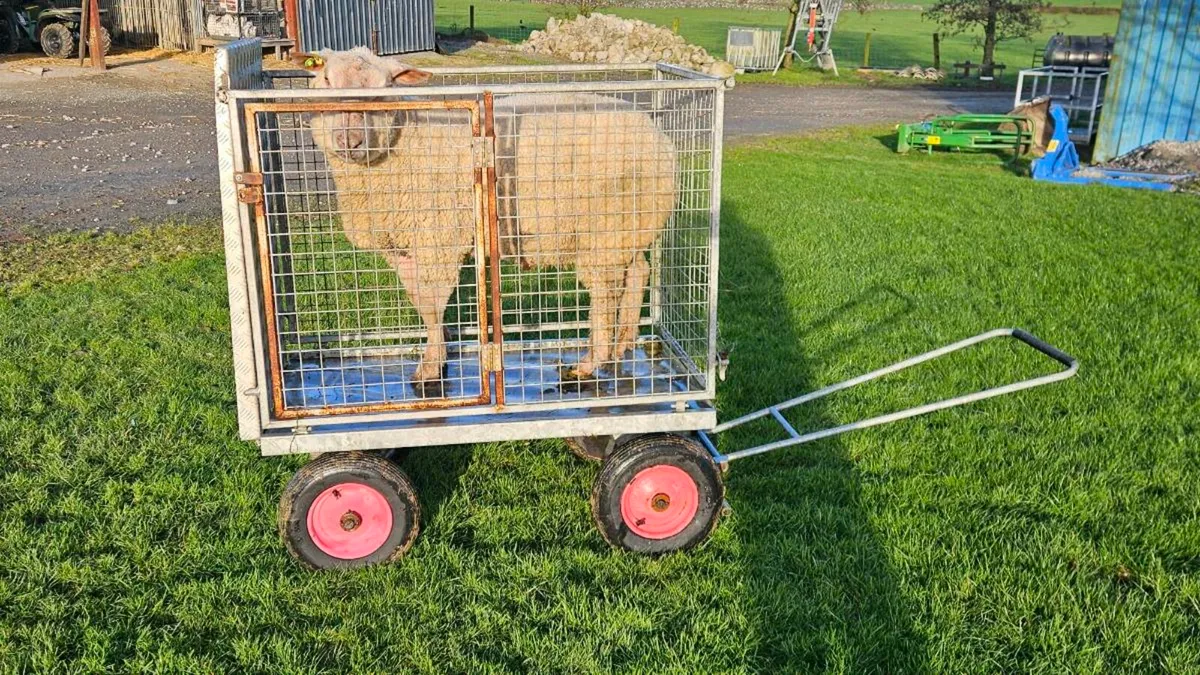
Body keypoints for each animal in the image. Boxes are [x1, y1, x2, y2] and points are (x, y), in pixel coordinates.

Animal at [290, 48, 677, 391]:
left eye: (383, 89)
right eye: (326, 79)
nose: (349, 139)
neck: (403, 145)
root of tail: (657, 134)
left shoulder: (439, 239)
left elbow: (432, 304)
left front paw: (430, 368)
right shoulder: (402, 245)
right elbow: (420, 302)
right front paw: (440, 348)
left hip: (606, 225)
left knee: (605, 292)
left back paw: (590, 362)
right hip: (629, 226)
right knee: (637, 273)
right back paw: (623, 342)